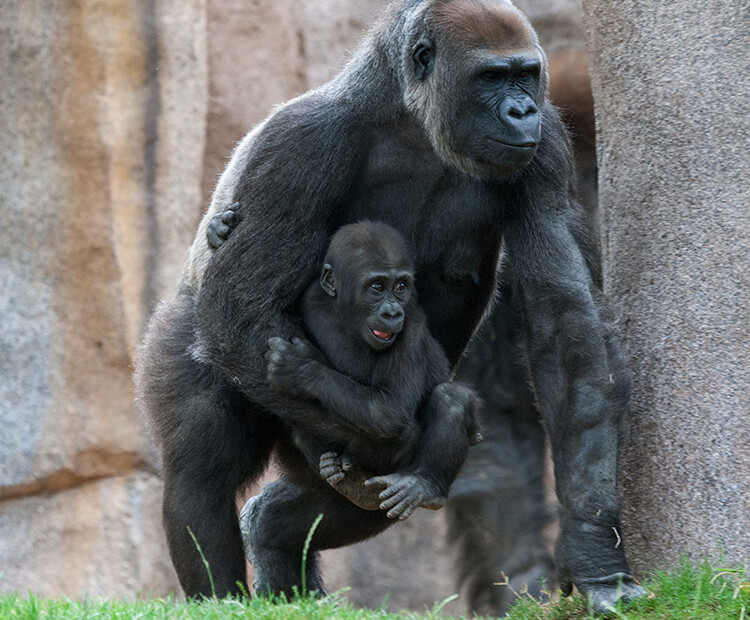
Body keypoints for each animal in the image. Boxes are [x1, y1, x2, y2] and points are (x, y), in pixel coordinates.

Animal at [266, 219, 482, 520]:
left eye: (401, 286)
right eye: (377, 287)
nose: (392, 313)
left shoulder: (412, 321)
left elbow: (387, 409)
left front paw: (300, 367)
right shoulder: (311, 298)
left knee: (450, 398)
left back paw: (423, 485)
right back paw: (344, 477)